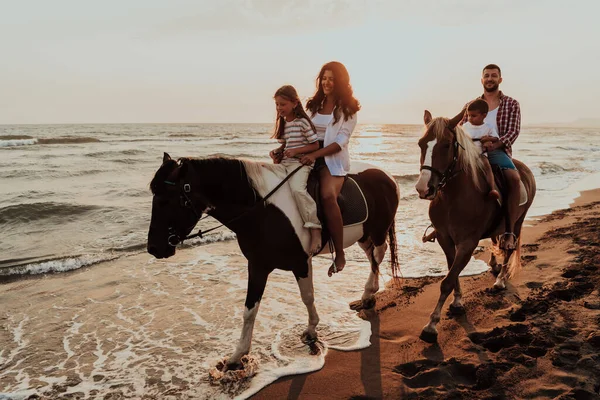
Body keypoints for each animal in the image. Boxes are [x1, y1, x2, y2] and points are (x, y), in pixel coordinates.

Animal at [146, 152, 398, 368]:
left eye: (165, 201)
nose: (153, 248)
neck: (262, 211)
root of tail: (388, 176)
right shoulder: (257, 265)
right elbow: (249, 310)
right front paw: (237, 356)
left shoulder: (301, 262)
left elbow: (307, 297)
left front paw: (311, 331)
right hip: (364, 235)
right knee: (371, 256)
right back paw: (367, 294)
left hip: (377, 231)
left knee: (378, 254)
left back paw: (368, 294)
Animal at [414, 111, 536, 342]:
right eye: (421, 144)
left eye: (446, 145)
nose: (424, 188)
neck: (453, 197)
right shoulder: (445, 238)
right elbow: (452, 273)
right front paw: (457, 302)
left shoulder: (467, 243)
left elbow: (447, 280)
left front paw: (431, 325)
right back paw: (494, 265)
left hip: (518, 221)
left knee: (509, 247)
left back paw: (500, 280)